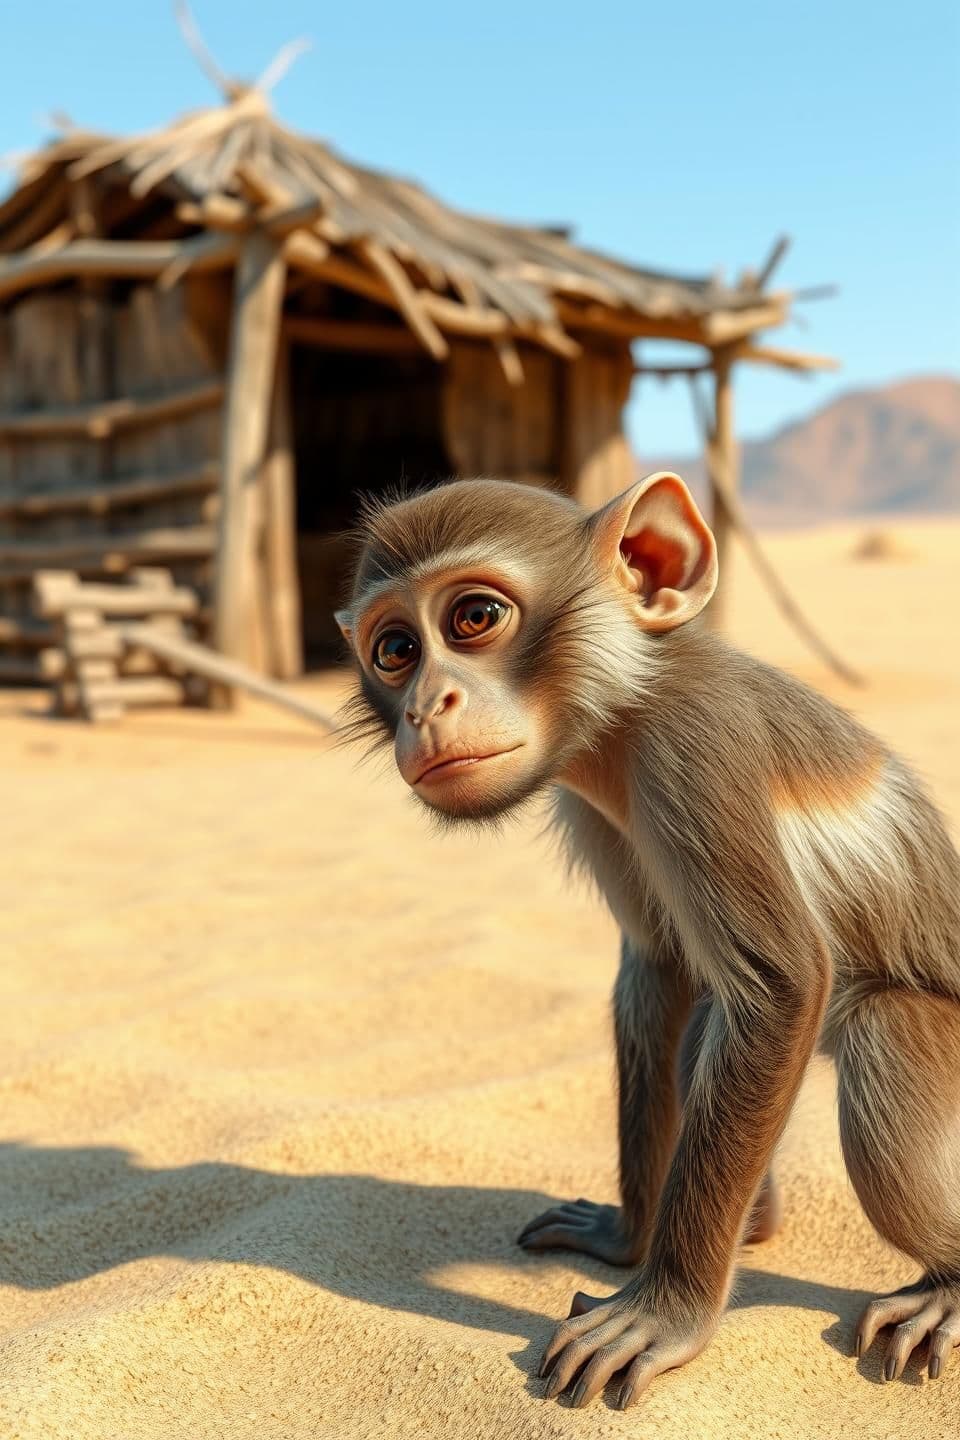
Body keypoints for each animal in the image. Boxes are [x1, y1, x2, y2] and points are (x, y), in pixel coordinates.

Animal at [334, 471, 960, 1409]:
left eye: (474, 617)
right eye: (395, 650)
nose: (422, 706)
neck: (628, 709)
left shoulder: (694, 750)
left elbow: (778, 986)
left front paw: (667, 1316)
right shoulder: (588, 797)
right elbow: (661, 973)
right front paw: (628, 1240)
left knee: (878, 1033)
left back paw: (944, 1288)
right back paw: (752, 1223)